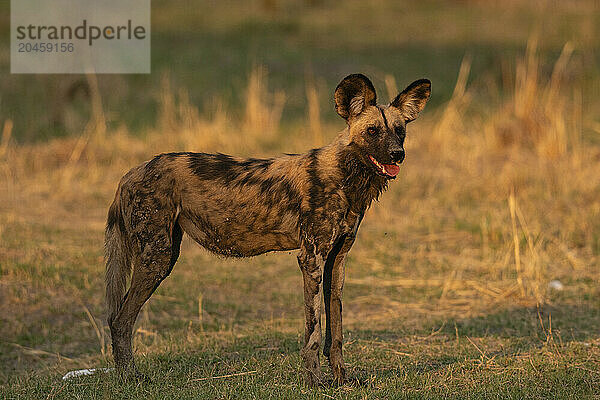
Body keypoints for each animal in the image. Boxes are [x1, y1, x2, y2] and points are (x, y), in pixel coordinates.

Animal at [104, 73, 432, 386]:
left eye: (400, 130)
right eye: (372, 131)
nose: (397, 154)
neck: (346, 177)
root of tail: (130, 173)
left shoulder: (336, 261)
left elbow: (335, 330)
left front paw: (342, 378)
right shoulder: (311, 259)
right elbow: (314, 333)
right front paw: (315, 381)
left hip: (165, 253)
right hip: (157, 259)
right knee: (120, 320)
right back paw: (129, 377)